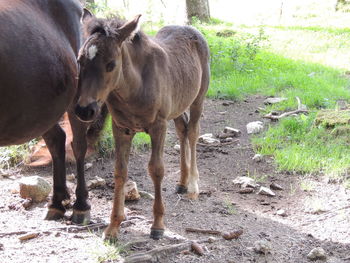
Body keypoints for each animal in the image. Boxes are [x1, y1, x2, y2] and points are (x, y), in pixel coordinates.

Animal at [0, 0, 91, 225]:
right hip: (42, 110)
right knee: (56, 140)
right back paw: (57, 202)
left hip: (79, 101)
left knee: (78, 146)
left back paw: (81, 206)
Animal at [75, 11, 209, 240]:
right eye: (79, 60)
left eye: (111, 64)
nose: (85, 110)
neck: (133, 87)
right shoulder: (121, 128)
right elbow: (120, 171)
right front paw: (113, 227)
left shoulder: (158, 126)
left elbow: (156, 169)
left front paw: (157, 225)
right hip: (178, 105)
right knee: (182, 129)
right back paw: (182, 183)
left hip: (198, 98)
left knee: (192, 132)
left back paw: (192, 185)